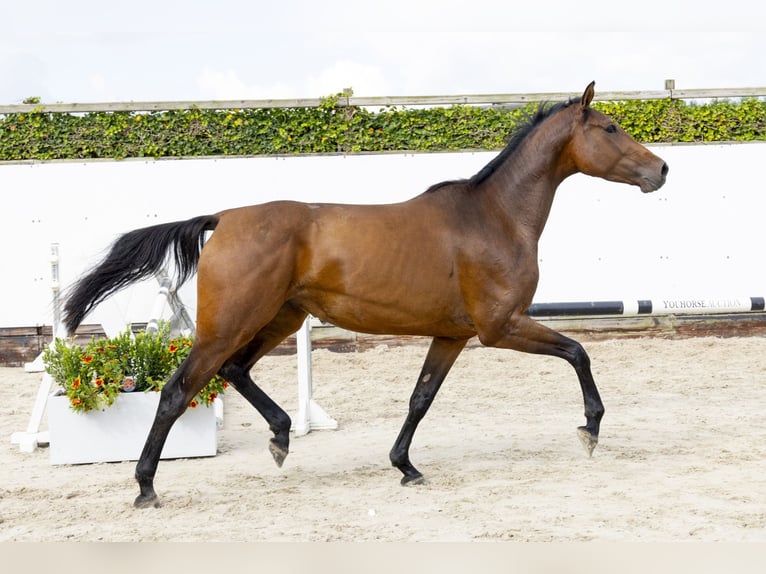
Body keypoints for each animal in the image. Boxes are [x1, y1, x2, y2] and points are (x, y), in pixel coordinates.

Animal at [63, 82, 668, 508]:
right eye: (610, 127)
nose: (661, 169)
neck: (494, 217)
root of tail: (224, 218)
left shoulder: (452, 335)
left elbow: (421, 398)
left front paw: (405, 466)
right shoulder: (502, 326)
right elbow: (578, 352)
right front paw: (590, 429)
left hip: (279, 319)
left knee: (235, 372)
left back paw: (281, 438)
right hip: (228, 324)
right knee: (177, 391)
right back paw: (146, 487)